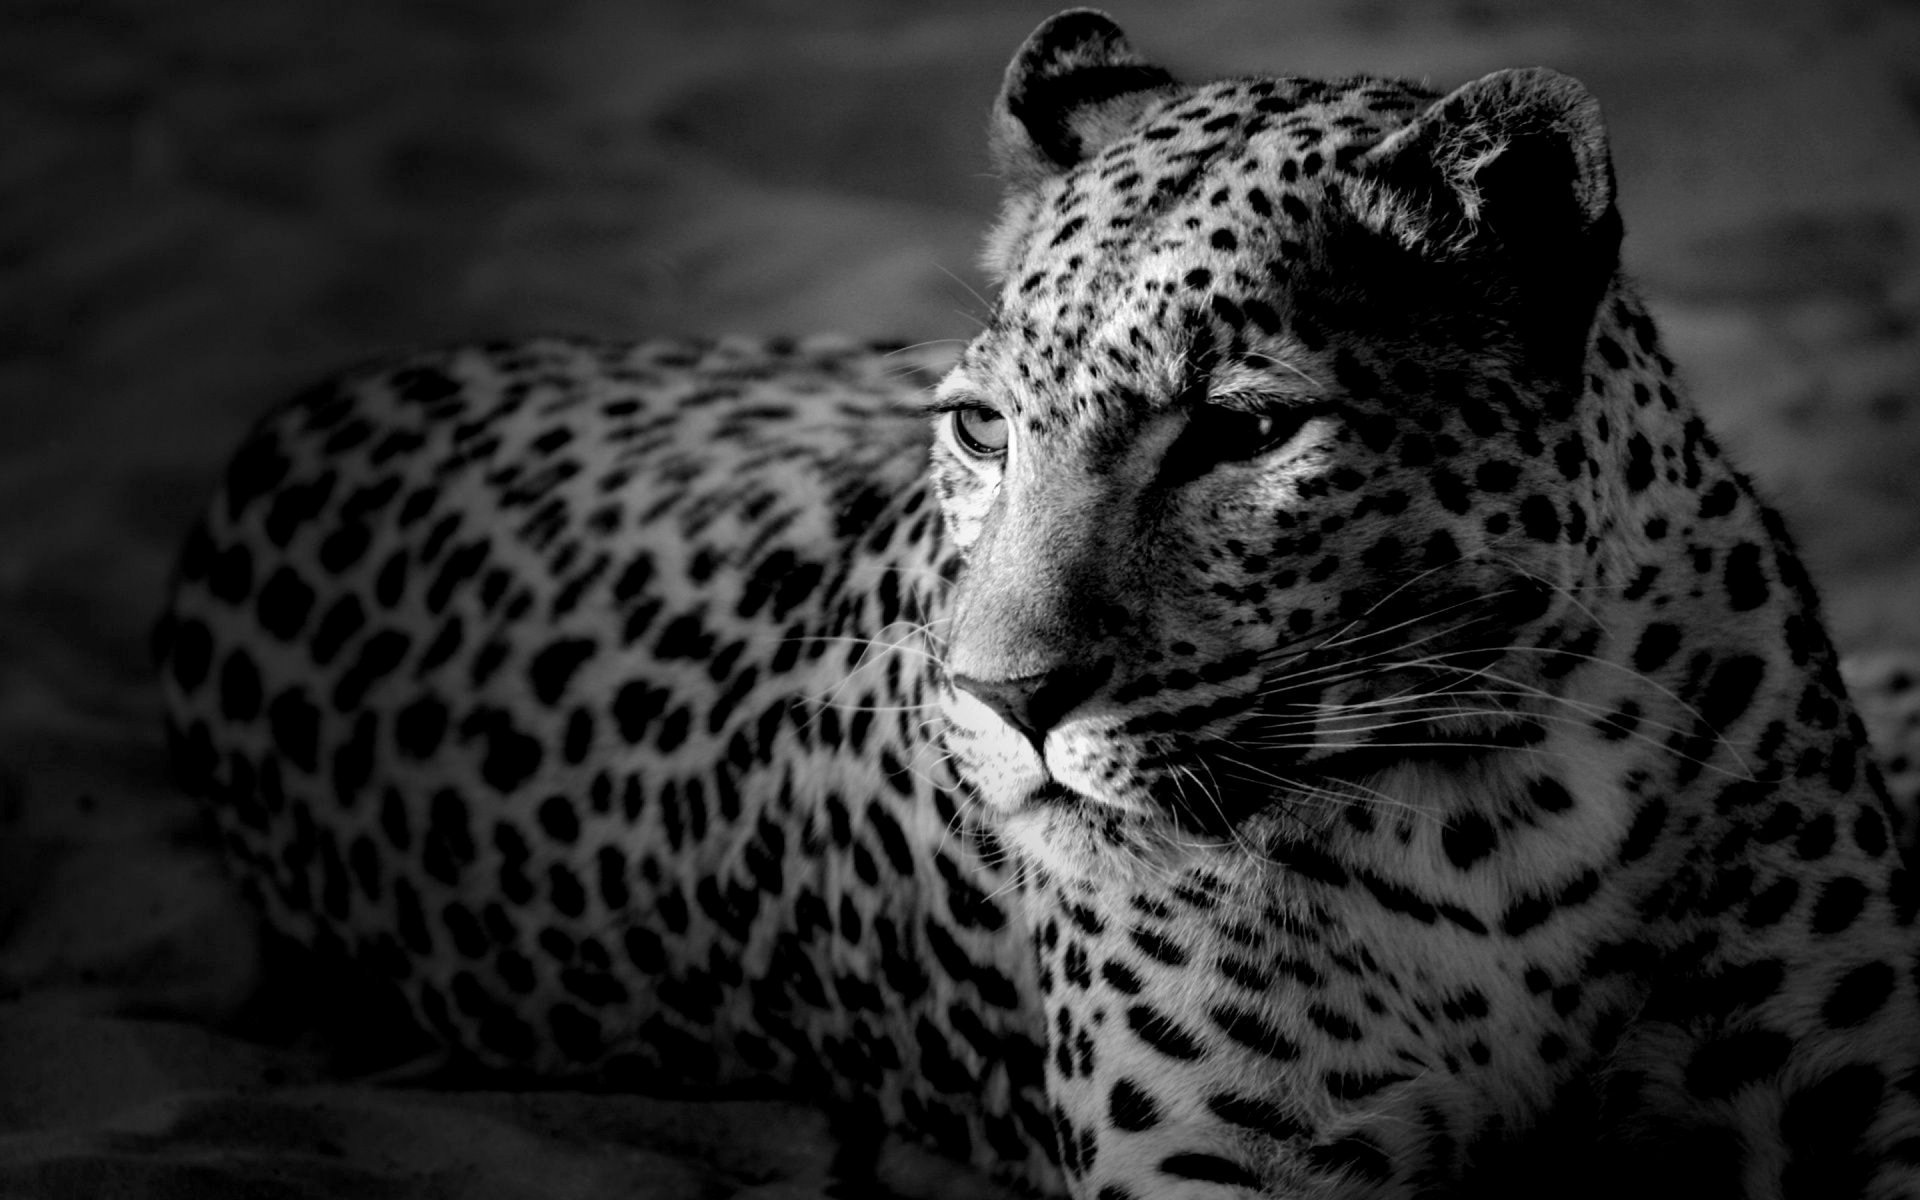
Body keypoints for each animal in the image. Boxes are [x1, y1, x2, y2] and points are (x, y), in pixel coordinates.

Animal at [156, 10, 1920, 1199]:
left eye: (1244, 433)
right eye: (981, 427)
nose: (1004, 704)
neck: (1495, 810)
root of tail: (300, 415)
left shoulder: (1857, 1093)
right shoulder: (1227, 1173)